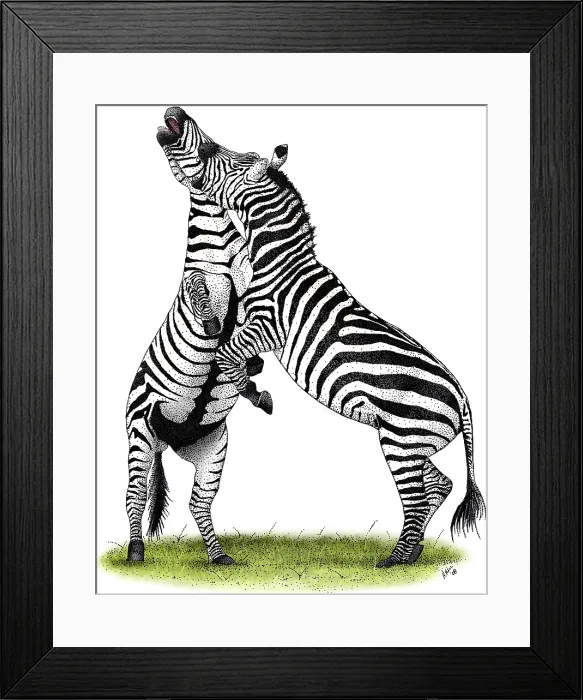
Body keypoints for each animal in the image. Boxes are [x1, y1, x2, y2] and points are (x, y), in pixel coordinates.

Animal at [125, 118, 265, 564]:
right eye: (210, 149)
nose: (173, 112)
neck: (220, 246)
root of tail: (169, 443)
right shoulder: (194, 286)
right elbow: (198, 291)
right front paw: (212, 326)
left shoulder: (254, 285)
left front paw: (252, 373)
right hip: (140, 433)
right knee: (135, 495)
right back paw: (136, 551)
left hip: (212, 448)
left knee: (198, 503)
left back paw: (218, 557)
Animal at [158, 106, 486, 568]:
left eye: (216, 153)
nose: (175, 115)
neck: (280, 261)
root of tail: (461, 397)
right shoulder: (249, 319)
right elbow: (225, 347)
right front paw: (251, 380)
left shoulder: (266, 328)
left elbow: (226, 356)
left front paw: (257, 393)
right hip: (413, 441)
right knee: (438, 485)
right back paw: (413, 549)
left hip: (402, 439)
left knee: (418, 496)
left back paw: (396, 559)